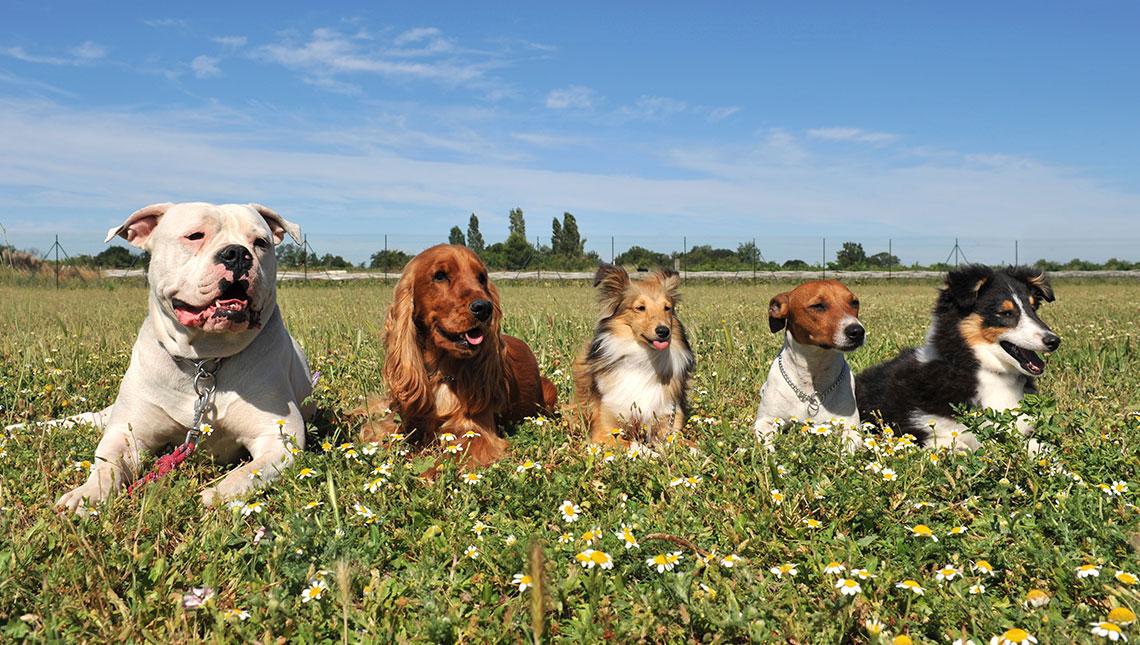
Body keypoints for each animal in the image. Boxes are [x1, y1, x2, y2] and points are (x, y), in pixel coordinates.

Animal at [51, 203, 312, 515]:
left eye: (261, 242)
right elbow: (107, 464)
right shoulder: (127, 433)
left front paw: (216, 495)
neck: (205, 360)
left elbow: (250, 472)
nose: (237, 253)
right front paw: (87, 495)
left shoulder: (280, 437)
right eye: (194, 235)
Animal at [355, 245, 551, 467]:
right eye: (440, 276)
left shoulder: (477, 434)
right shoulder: (401, 419)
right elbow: (378, 430)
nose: (484, 308)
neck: (440, 372)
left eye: (481, 278)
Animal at [756, 280, 861, 453]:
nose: (858, 331)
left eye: (854, 302)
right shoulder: (765, 420)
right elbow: (766, 443)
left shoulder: (850, 423)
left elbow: (851, 442)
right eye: (818, 306)